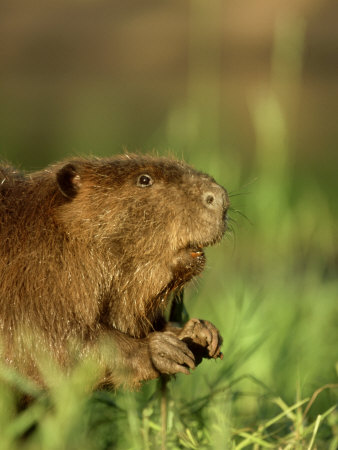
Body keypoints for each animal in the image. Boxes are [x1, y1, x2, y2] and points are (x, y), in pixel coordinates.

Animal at [0, 154, 230, 386]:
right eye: (144, 179)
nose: (219, 197)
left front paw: (200, 332)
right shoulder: (34, 283)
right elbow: (48, 343)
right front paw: (161, 350)